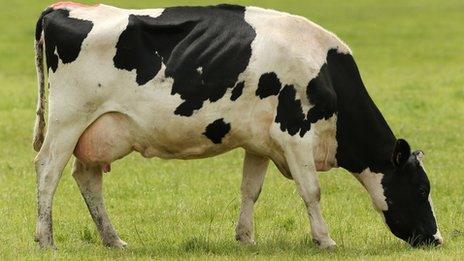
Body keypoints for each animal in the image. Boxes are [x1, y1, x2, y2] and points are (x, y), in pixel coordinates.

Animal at [31, 2, 442, 249]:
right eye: (422, 189)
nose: (435, 239)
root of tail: (61, 7)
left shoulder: (260, 141)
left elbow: (250, 190)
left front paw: (245, 238)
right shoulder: (294, 132)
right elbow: (312, 191)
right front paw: (325, 240)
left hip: (98, 131)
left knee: (86, 177)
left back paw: (112, 240)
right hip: (68, 120)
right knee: (48, 169)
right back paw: (46, 238)